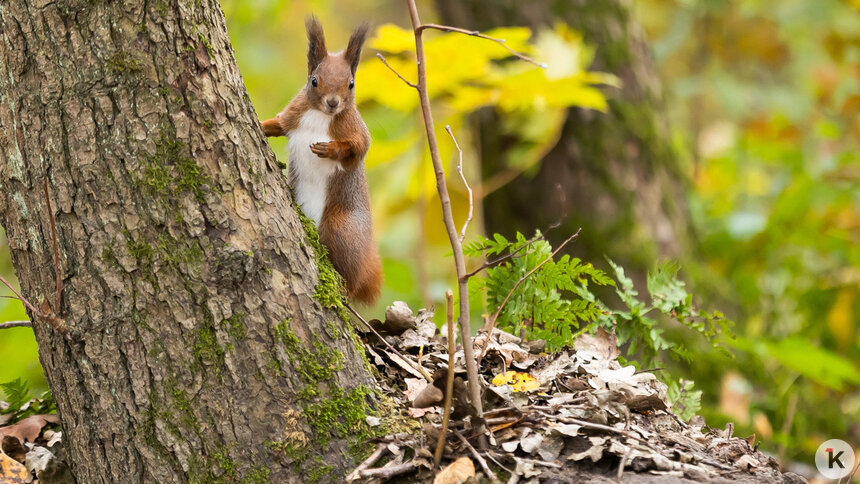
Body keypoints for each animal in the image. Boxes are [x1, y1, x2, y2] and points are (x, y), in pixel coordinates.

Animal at [258, 17, 380, 304]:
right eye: (314, 81)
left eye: (351, 84)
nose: (333, 103)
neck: (320, 115)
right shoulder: (294, 114)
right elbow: (278, 124)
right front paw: (261, 125)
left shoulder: (357, 132)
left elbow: (358, 149)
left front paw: (331, 149)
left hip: (342, 228)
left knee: (351, 278)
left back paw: (345, 290)